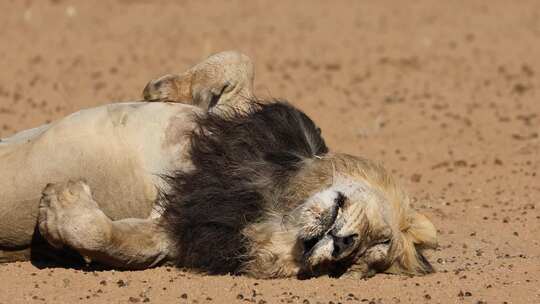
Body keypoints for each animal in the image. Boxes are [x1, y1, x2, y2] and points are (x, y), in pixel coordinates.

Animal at [0, 51, 434, 280]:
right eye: (379, 237)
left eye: (344, 269)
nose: (343, 246)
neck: (273, 202)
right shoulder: (231, 124)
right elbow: (239, 62)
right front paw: (162, 89)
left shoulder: (172, 235)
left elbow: (105, 238)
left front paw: (60, 205)